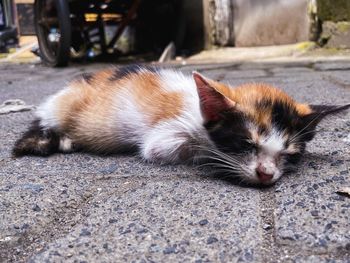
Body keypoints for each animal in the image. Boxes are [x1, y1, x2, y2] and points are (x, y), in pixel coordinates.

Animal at [11, 66, 350, 186]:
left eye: (289, 154)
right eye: (246, 144)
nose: (266, 174)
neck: (199, 111)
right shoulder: (162, 139)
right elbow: (164, 150)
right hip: (63, 106)